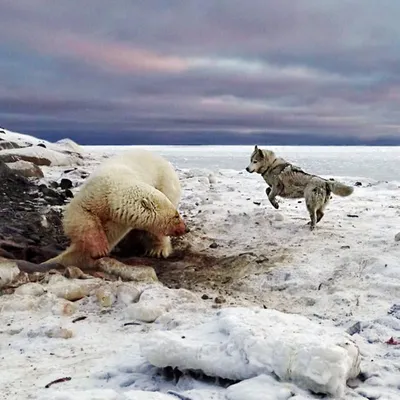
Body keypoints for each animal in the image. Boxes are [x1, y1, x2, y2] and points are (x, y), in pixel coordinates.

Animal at [43, 148, 188, 268]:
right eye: (176, 216)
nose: (186, 228)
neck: (114, 189)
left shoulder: (119, 218)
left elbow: (109, 234)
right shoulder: (95, 193)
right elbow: (79, 214)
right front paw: (98, 248)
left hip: (166, 185)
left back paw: (159, 250)